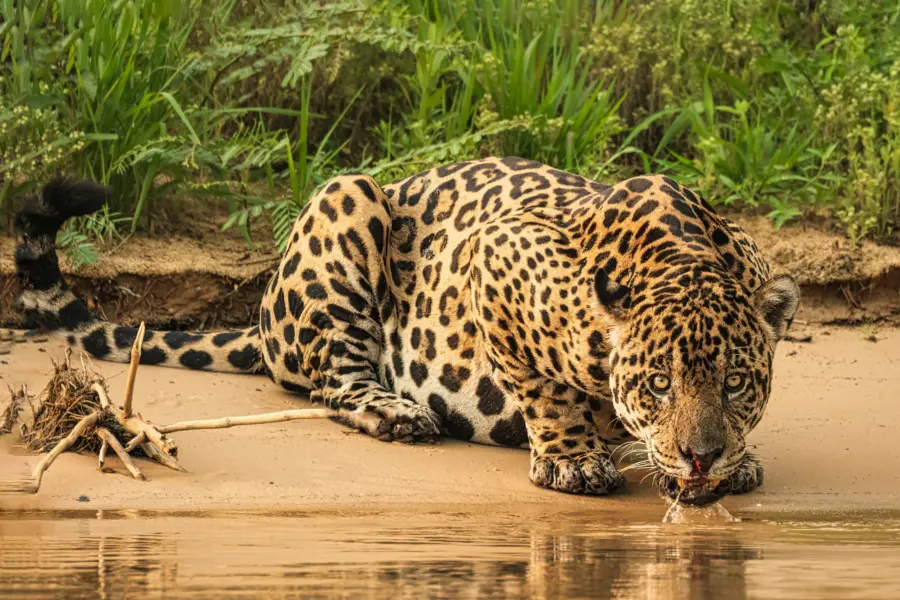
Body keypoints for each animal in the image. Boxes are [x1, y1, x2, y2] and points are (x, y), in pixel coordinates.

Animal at [12, 157, 800, 505]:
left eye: (736, 383)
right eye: (658, 384)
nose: (700, 457)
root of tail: (263, 316)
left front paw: (735, 461)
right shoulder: (498, 253)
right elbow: (545, 389)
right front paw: (573, 459)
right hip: (347, 199)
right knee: (334, 382)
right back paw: (398, 412)